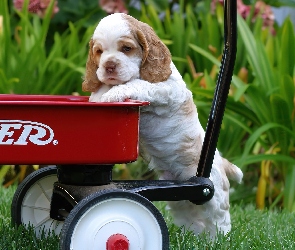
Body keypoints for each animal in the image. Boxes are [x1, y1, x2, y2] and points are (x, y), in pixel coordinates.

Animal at [82, 12, 243, 237]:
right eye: (99, 52)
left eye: (126, 48)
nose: (109, 66)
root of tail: (219, 159)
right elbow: (104, 88)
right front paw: (99, 96)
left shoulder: (167, 89)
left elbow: (137, 84)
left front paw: (113, 94)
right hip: (180, 199)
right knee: (191, 216)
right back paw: (193, 238)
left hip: (214, 194)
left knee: (220, 220)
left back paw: (219, 239)